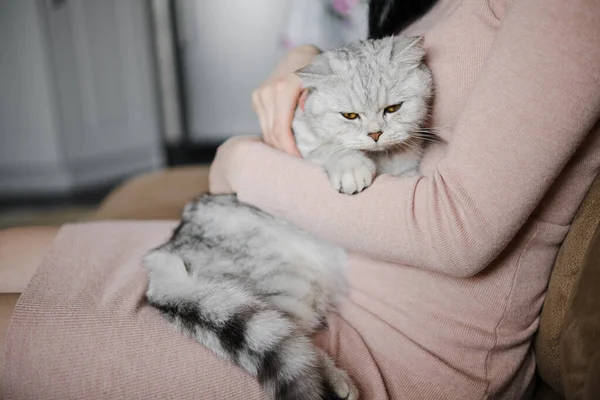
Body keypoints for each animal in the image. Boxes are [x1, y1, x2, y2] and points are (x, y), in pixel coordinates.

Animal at [146, 35, 436, 400]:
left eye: (393, 109)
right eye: (350, 115)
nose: (375, 134)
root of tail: (164, 254)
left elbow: (404, 163)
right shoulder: (297, 145)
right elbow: (329, 148)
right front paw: (351, 165)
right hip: (285, 285)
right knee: (293, 340)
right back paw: (337, 380)